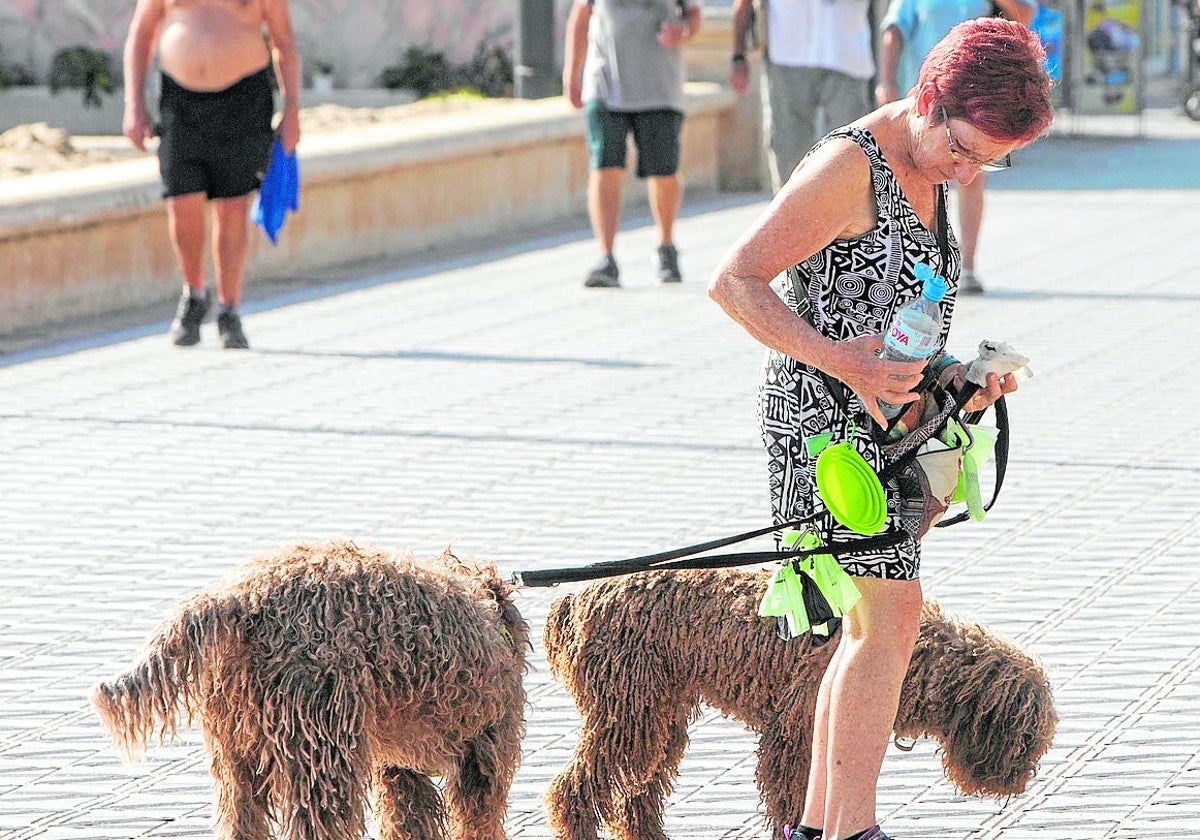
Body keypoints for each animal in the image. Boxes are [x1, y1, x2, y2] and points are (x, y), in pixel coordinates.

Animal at [90, 542, 530, 840]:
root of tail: (241, 598)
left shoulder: (402, 769)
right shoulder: (485, 755)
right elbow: (478, 820)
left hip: (236, 751)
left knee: (241, 819)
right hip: (324, 748)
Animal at [547, 568, 1060, 835]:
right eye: (1025, 739)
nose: (1020, 781)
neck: (918, 654)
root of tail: (578, 597)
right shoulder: (795, 732)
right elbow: (792, 800)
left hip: (658, 717)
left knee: (636, 794)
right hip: (628, 717)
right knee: (574, 790)